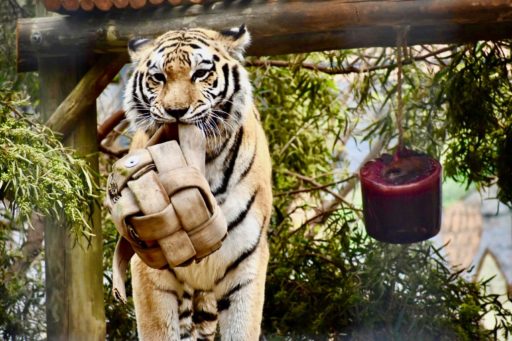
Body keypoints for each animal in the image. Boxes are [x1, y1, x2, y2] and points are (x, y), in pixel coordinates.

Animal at [122, 24, 274, 340]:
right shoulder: (150, 266)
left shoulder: (247, 263)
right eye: (159, 77)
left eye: (201, 73)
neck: (202, 162)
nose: (176, 111)